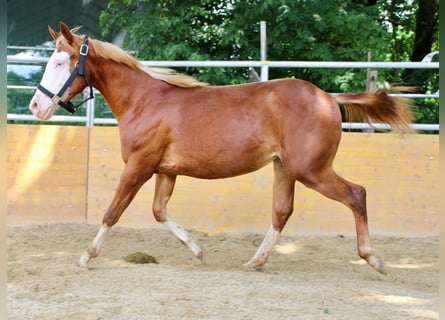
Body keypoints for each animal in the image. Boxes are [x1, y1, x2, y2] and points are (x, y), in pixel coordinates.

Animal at [27, 21, 412, 276]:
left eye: (59, 62)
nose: (35, 106)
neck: (144, 100)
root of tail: (329, 98)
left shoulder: (139, 165)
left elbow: (112, 212)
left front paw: (85, 256)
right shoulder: (165, 171)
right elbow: (159, 211)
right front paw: (199, 251)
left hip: (311, 170)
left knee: (356, 194)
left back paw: (375, 260)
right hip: (285, 168)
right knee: (281, 212)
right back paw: (255, 261)